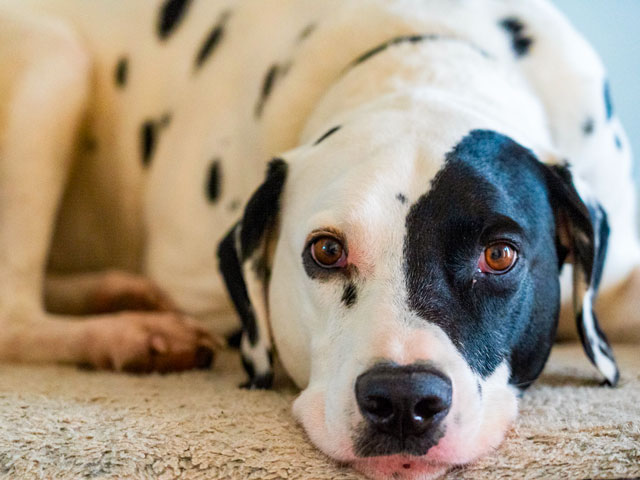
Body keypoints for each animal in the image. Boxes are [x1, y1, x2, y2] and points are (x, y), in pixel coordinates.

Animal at [1, 0, 640, 478]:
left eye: (500, 254)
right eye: (327, 251)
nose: (403, 400)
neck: (425, 48)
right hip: (53, 59)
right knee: (15, 314)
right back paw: (130, 333)